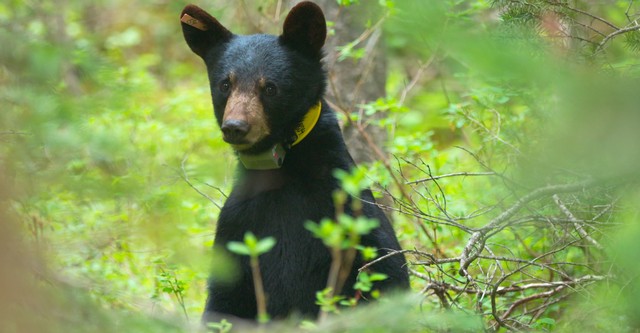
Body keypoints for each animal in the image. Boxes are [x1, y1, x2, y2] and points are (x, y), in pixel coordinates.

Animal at [180, 0, 410, 322]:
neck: (280, 169)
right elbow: (224, 301)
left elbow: (385, 272)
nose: (235, 127)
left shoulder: (348, 209)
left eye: (270, 87)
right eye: (225, 84)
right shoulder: (237, 224)